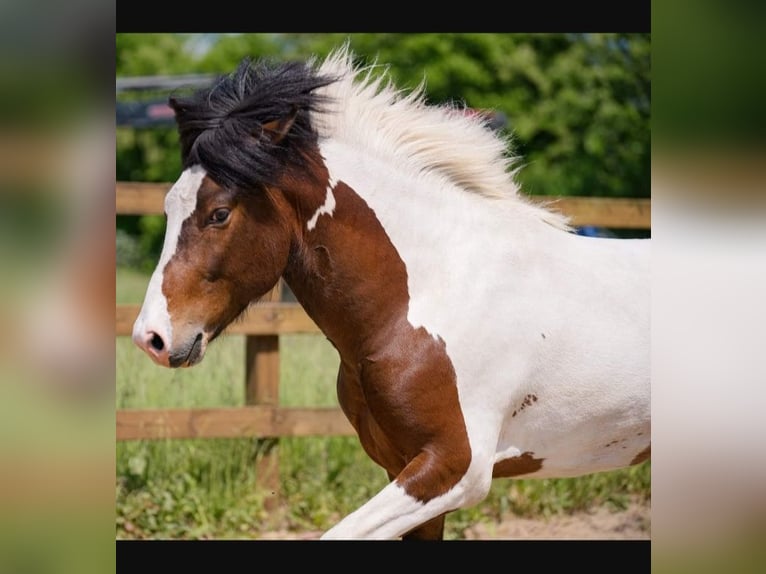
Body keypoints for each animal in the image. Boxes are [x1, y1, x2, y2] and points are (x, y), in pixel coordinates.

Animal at [134, 44, 656, 540]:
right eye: (168, 207)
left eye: (219, 213)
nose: (150, 338)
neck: (427, 299)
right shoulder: (402, 468)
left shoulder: (455, 469)